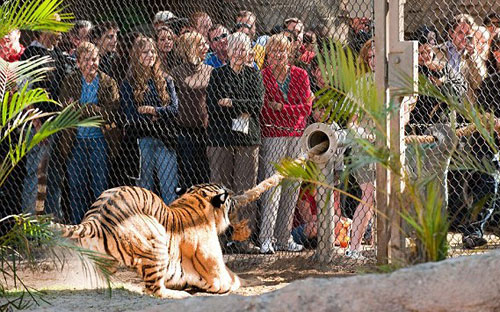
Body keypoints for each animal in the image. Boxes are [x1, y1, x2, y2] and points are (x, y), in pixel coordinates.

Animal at [52, 184, 242, 298]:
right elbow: (232, 280)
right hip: (157, 242)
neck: (196, 199)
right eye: (227, 196)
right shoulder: (217, 274)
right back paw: (179, 295)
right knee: (154, 289)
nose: (234, 194)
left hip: (103, 261)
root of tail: (96, 218)